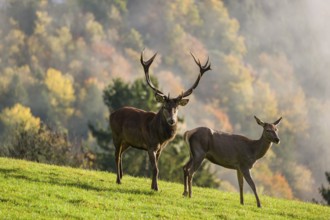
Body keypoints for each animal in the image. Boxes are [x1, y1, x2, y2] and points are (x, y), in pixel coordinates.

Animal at [109, 50, 210, 190]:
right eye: (164, 106)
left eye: (177, 108)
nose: (172, 120)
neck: (159, 136)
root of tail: (111, 114)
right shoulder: (150, 145)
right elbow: (155, 168)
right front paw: (156, 188)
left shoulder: (160, 148)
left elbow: (156, 168)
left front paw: (153, 186)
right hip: (116, 135)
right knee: (116, 156)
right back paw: (118, 180)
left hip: (127, 141)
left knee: (121, 154)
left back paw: (122, 175)